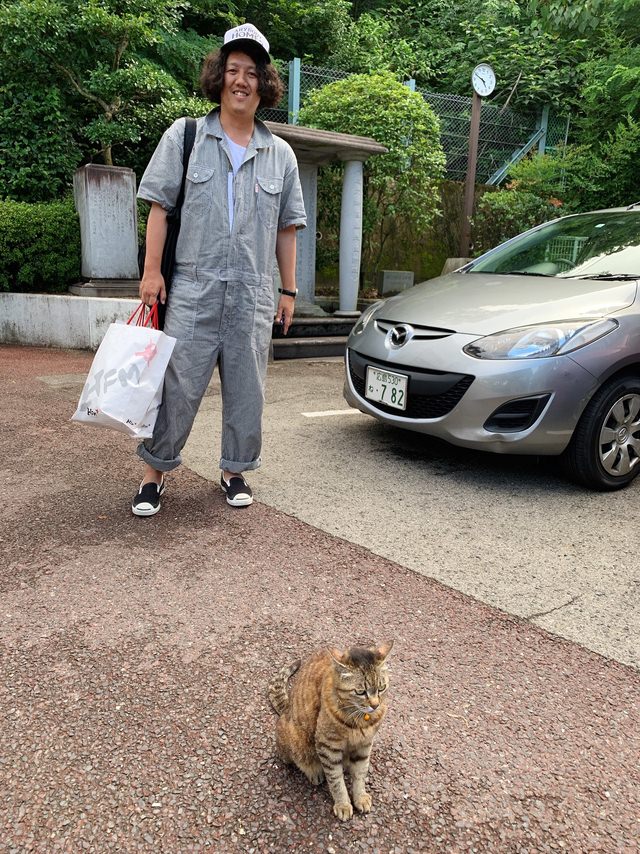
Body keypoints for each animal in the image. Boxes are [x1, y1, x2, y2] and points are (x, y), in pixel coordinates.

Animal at [268, 640, 392, 824]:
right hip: (295, 742)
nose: (375, 705)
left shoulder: (365, 744)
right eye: (361, 692)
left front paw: (360, 797)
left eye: (382, 688)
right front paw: (343, 804)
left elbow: (360, 773)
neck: (360, 718)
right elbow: (335, 780)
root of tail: (286, 708)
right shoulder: (328, 747)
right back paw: (314, 772)